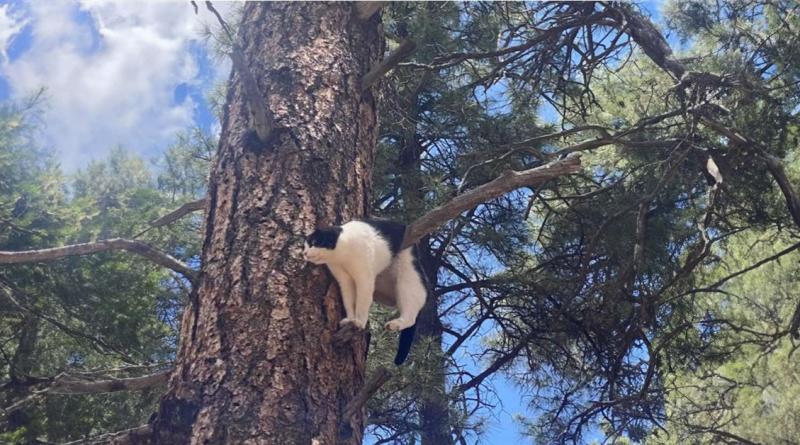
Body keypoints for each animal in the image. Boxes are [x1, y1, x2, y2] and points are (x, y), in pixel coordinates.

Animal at [304, 219, 432, 364]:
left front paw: (359, 322)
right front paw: (350, 319)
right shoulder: (345, 281)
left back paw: (395, 324)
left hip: (408, 277)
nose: (304, 253)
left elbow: (362, 302)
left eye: (313, 243)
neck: (342, 255)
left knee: (411, 315)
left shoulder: (364, 278)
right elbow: (349, 302)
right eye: (305, 246)